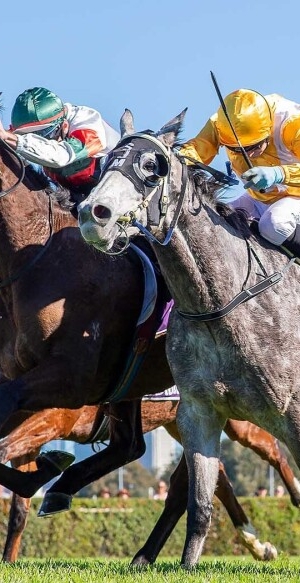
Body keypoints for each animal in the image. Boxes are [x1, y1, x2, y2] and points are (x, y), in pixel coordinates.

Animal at [77, 110, 300, 572]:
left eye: (152, 166)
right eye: (106, 161)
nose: (94, 213)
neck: (221, 303)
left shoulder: (293, 412)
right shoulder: (199, 412)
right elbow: (200, 504)